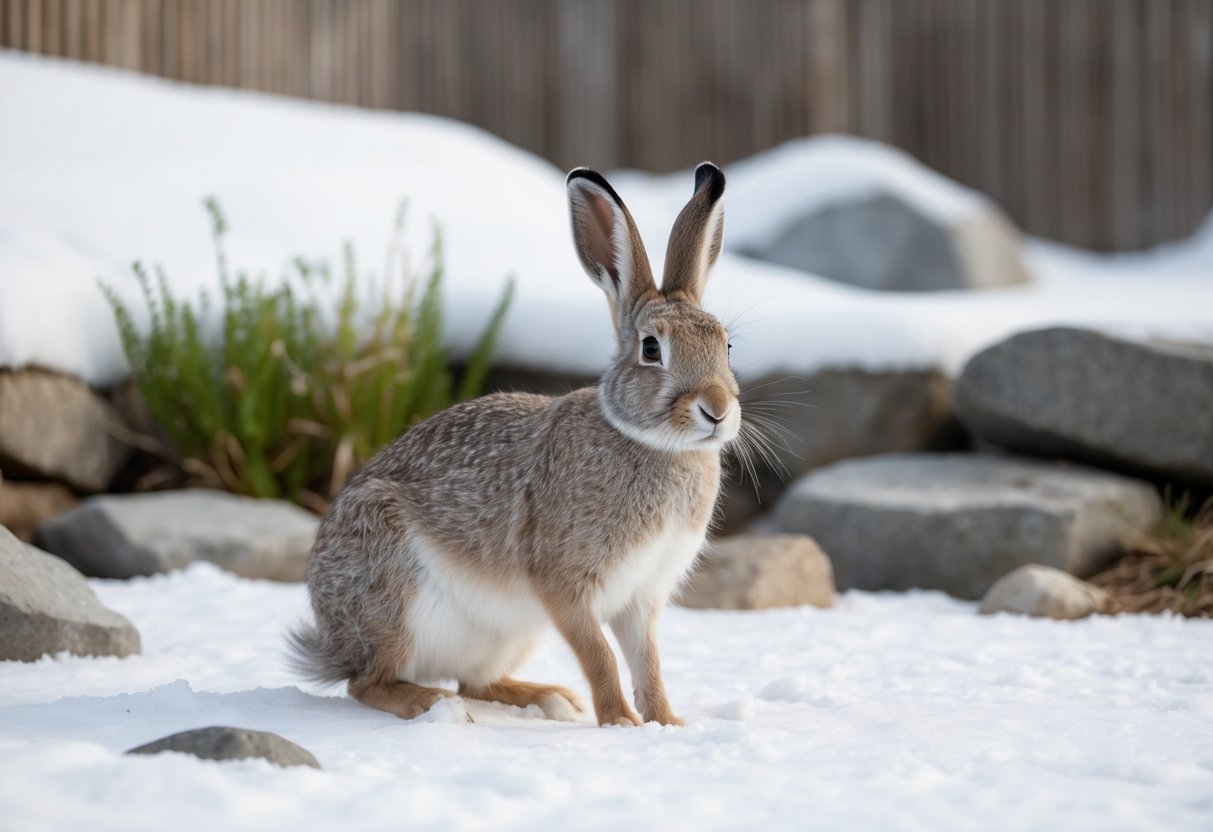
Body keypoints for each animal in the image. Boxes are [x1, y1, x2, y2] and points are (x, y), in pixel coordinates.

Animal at [288, 162, 739, 726]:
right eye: (652, 349)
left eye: (727, 345)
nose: (717, 410)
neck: (654, 444)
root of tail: (332, 640)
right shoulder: (563, 584)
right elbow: (600, 656)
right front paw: (619, 722)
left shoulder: (642, 596)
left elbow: (648, 661)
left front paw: (666, 724)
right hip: (393, 597)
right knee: (368, 682)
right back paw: (433, 704)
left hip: (509, 634)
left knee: (476, 681)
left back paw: (548, 698)